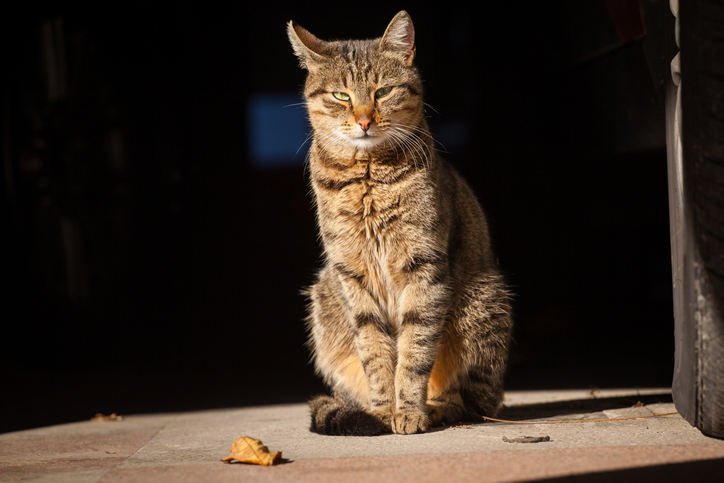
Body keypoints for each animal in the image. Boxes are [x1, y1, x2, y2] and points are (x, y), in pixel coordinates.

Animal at [288, 11, 516, 436]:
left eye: (383, 92)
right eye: (341, 96)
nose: (363, 120)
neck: (367, 174)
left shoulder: (423, 266)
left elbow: (414, 350)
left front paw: (409, 409)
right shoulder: (352, 273)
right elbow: (376, 353)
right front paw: (382, 409)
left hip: (482, 299)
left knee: (473, 403)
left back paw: (438, 408)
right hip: (326, 297)